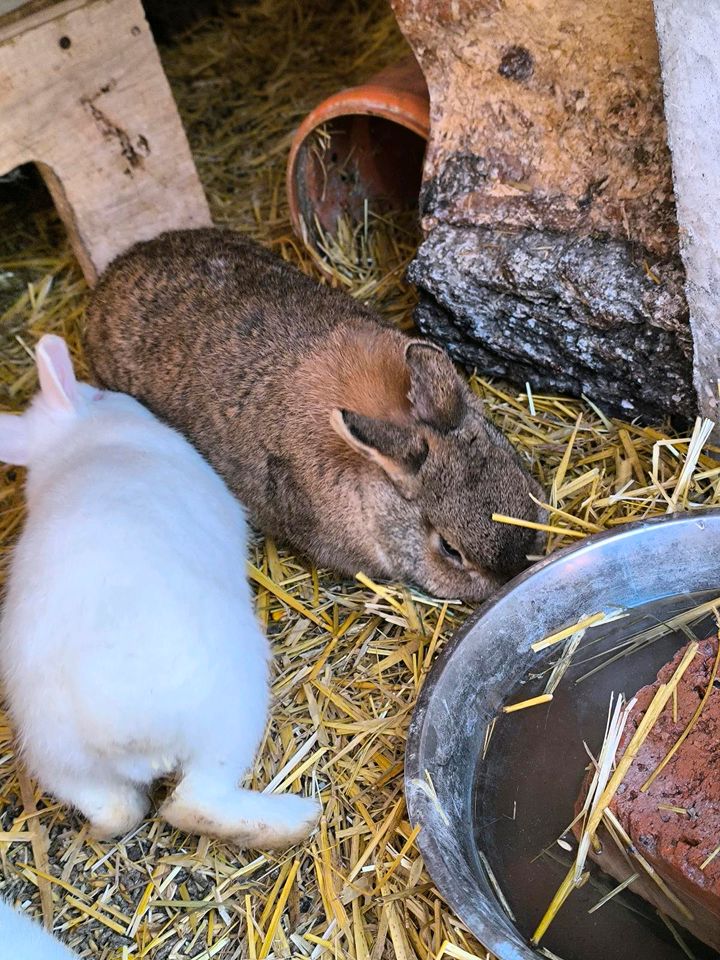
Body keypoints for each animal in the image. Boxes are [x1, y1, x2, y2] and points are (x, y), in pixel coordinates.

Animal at [0, 336, 318, 848]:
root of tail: (122, 735)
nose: (121, 396)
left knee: (115, 811)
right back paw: (297, 819)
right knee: (194, 804)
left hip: (58, 759)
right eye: (100, 396)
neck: (74, 444)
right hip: (231, 715)